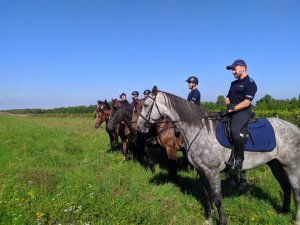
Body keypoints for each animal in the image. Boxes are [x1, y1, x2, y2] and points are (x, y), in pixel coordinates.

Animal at [137, 86, 300, 225]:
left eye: (146, 105)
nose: (138, 127)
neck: (201, 130)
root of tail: (294, 128)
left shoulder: (212, 171)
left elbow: (217, 198)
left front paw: (222, 221)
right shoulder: (202, 170)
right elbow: (207, 195)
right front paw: (209, 219)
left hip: (291, 166)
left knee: (296, 191)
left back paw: (296, 219)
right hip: (275, 164)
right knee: (286, 187)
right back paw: (284, 212)